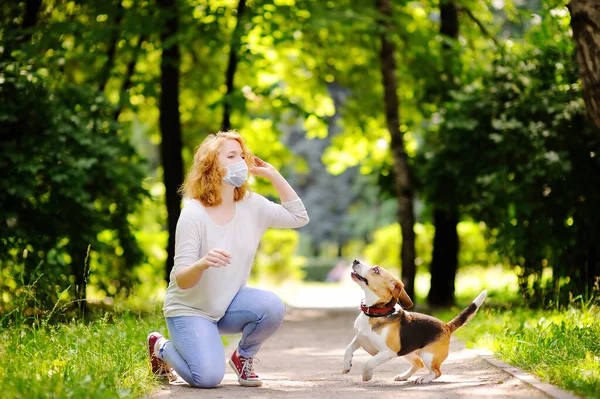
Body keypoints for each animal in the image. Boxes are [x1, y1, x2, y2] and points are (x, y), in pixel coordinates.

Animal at [342, 260, 488, 384]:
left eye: (376, 270)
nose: (355, 260)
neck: (375, 313)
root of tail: (446, 326)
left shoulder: (388, 352)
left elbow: (368, 362)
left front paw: (367, 375)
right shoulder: (359, 338)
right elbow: (348, 349)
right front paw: (347, 365)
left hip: (428, 355)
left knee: (436, 372)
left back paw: (424, 379)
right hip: (409, 352)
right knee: (419, 364)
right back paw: (403, 376)